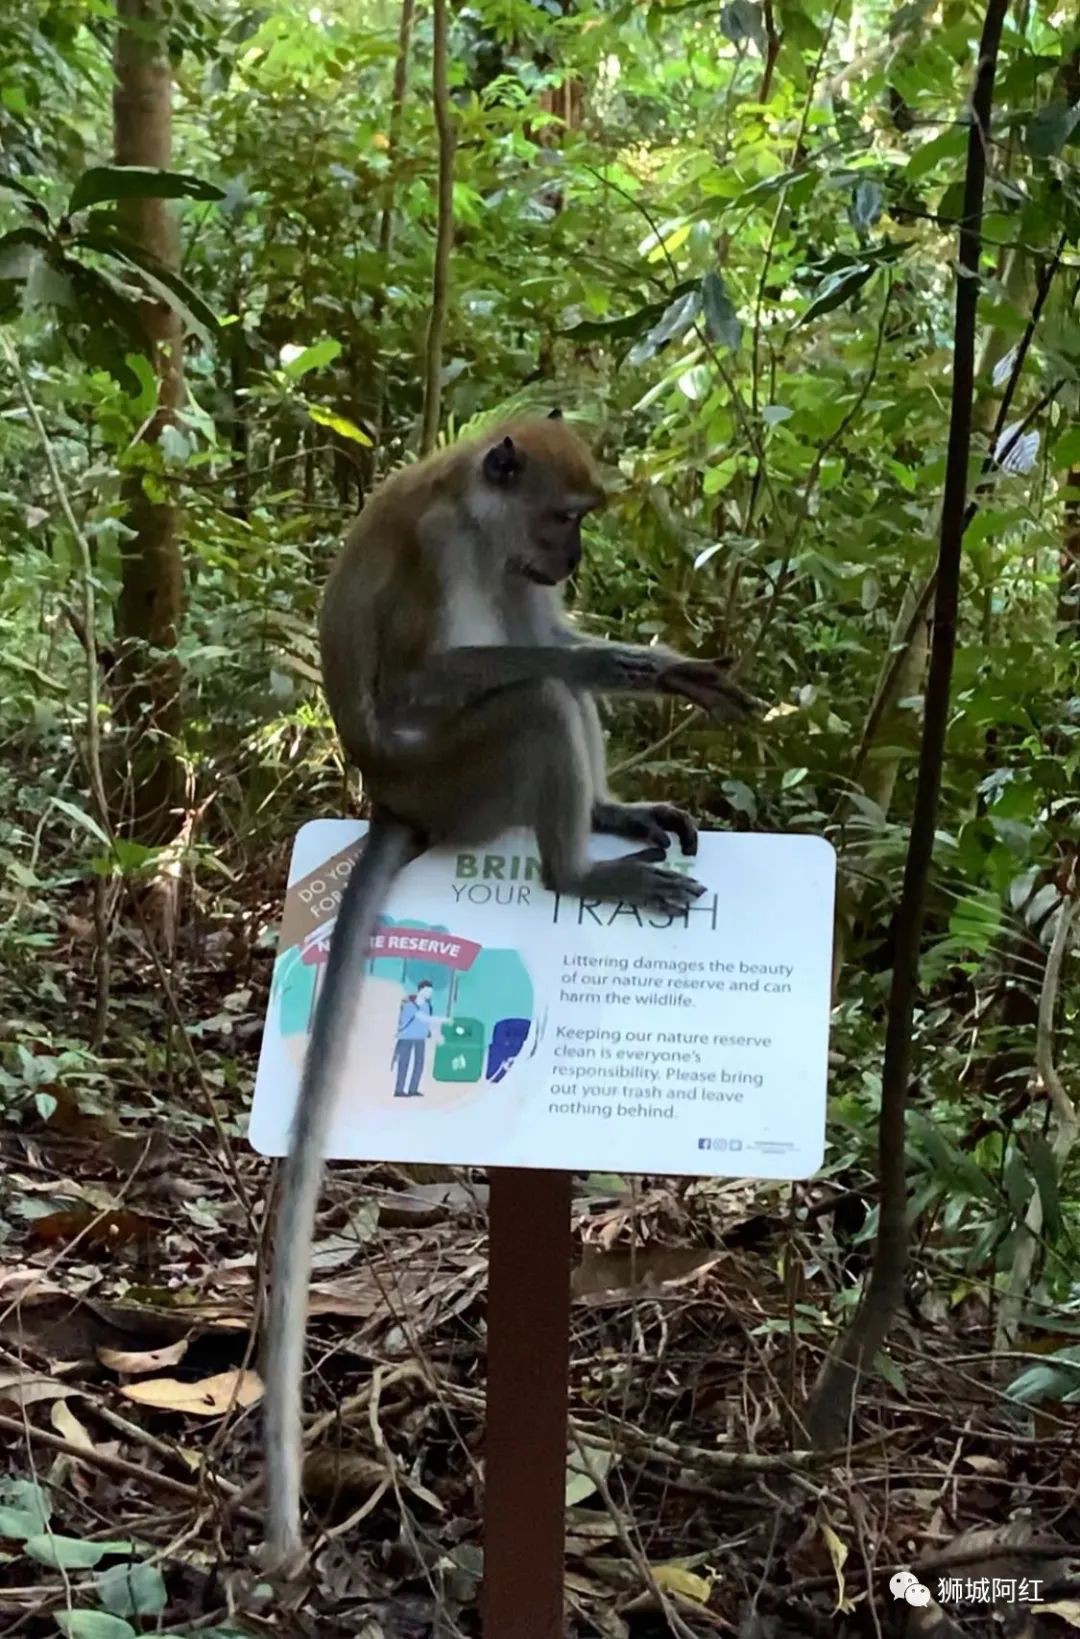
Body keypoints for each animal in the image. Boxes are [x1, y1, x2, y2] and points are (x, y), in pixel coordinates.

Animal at [263, 406, 760, 1560]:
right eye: (564, 517)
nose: (571, 558)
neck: (480, 518)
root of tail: (399, 803)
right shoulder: (443, 547)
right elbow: (451, 676)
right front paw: (631, 661)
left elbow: (551, 640)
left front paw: (649, 665)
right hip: (461, 780)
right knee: (533, 698)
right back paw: (579, 868)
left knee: (548, 687)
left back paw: (613, 817)